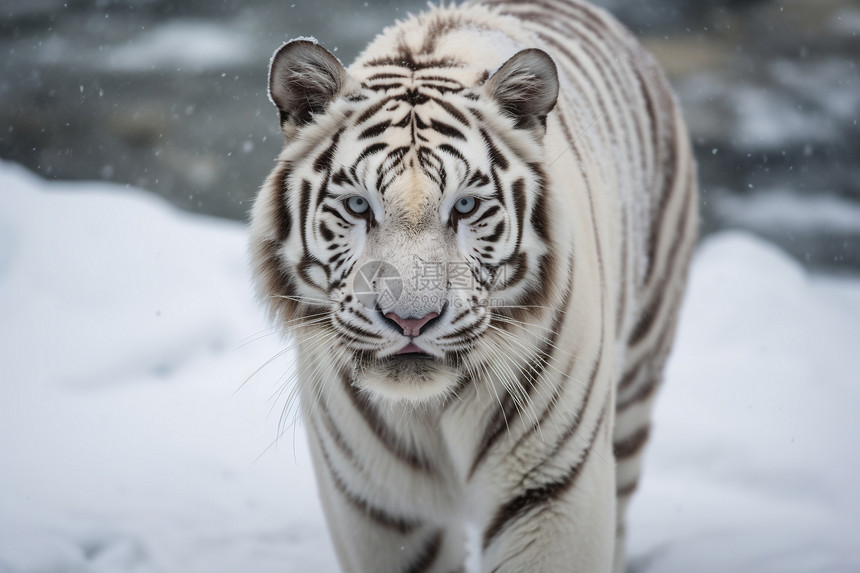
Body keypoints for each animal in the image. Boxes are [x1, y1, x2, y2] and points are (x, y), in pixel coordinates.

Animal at [249, 0, 700, 568]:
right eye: (357, 205)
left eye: (464, 206)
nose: (411, 320)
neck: (429, 409)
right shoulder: (375, 506)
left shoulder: (551, 490)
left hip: (637, 379)